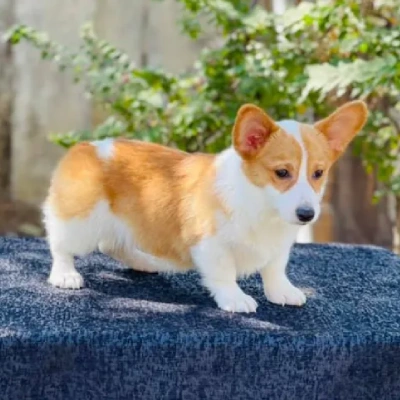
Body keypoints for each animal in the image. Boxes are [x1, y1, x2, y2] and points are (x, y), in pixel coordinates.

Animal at [43, 100, 368, 312]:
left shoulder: (278, 248)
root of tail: (85, 147)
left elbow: (275, 270)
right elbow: (224, 274)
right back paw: (65, 275)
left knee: (112, 244)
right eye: (282, 173)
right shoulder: (211, 245)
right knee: (61, 245)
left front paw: (282, 292)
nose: (307, 215)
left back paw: (144, 261)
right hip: (80, 222)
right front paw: (235, 299)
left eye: (318, 173)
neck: (262, 207)